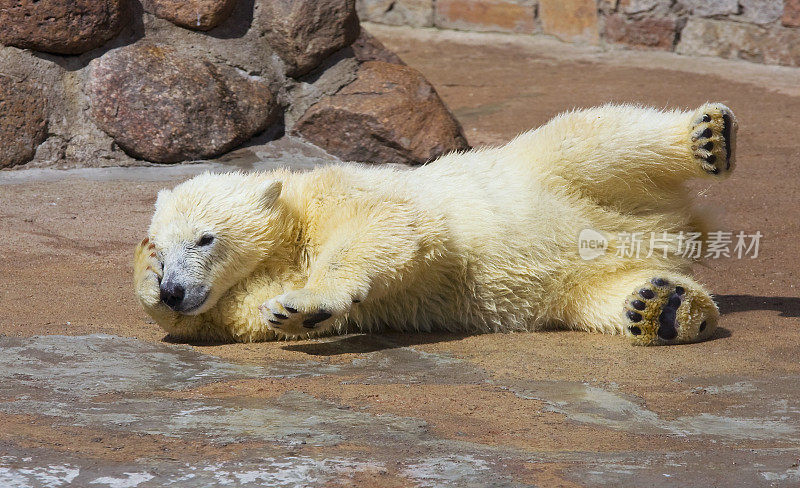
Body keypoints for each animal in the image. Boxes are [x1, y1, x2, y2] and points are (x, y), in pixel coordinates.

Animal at [133, 103, 736, 346]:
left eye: (204, 238)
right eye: (165, 249)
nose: (174, 290)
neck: (293, 222)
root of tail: (677, 227)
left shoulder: (342, 193)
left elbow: (387, 226)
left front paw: (302, 302)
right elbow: (239, 314)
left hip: (544, 171)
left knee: (592, 139)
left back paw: (707, 137)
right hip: (579, 284)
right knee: (605, 297)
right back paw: (662, 307)